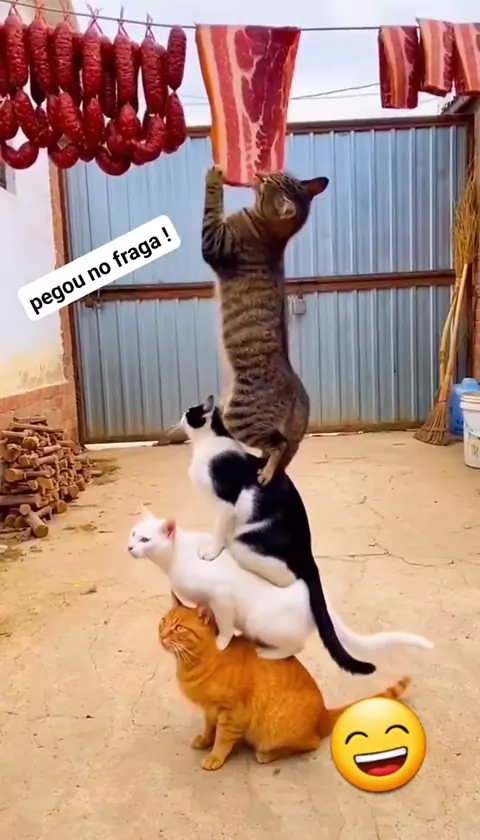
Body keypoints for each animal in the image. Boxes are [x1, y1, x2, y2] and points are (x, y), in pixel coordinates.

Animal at [128, 509, 434, 662]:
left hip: (261, 623)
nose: (130, 547)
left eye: (145, 540)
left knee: (296, 647)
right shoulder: (209, 602)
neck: (174, 559)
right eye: (133, 534)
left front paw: (221, 642)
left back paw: (268, 652)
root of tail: (319, 598)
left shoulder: (222, 597)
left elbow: (224, 627)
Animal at [159, 597, 412, 771]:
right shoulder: (211, 710)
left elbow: (222, 739)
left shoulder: (231, 714)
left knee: (311, 743)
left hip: (277, 728)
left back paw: (267, 754)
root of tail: (323, 713)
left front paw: (215, 756)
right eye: (163, 622)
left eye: (178, 628)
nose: (161, 635)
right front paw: (205, 740)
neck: (195, 660)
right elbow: (209, 728)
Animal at [201, 165, 329, 486]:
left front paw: (215, 176)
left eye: (269, 181)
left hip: (238, 417)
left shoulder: (213, 242)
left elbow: (211, 206)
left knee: (278, 445)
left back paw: (266, 473)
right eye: (277, 172)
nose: (260, 173)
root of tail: (301, 397)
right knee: (275, 446)